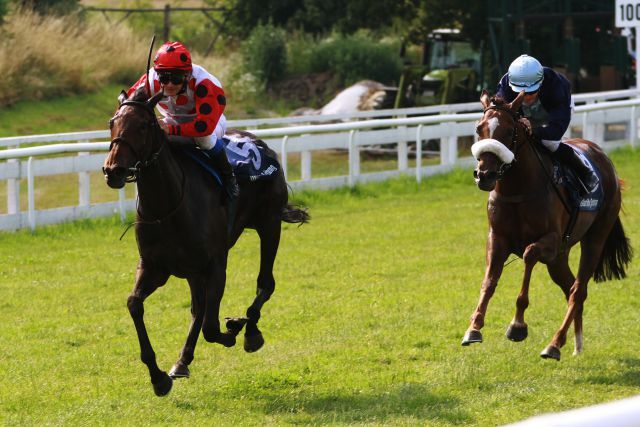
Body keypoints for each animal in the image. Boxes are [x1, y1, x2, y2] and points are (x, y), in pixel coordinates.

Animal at [102, 88, 308, 396]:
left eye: (143, 125)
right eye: (112, 122)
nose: (113, 170)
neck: (169, 205)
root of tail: (261, 144)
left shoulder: (216, 264)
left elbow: (212, 326)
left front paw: (234, 328)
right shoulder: (154, 267)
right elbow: (134, 304)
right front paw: (158, 378)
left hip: (269, 224)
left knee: (265, 284)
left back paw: (249, 330)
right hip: (193, 269)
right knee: (198, 309)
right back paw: (183, 361)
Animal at [462, 90, 632, 362]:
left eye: (509, 131)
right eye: (479, 128)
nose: (484, 175)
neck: (519, 190)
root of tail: (605, 160)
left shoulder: (551, 241)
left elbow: (529, 255)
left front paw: (517, 325)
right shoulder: (497, 238)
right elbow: (488, 281)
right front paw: (474, 327)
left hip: (595, 237)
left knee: (578, 290)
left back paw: (554, 344)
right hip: (559, 258)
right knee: (570, 287)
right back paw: (576, 344)